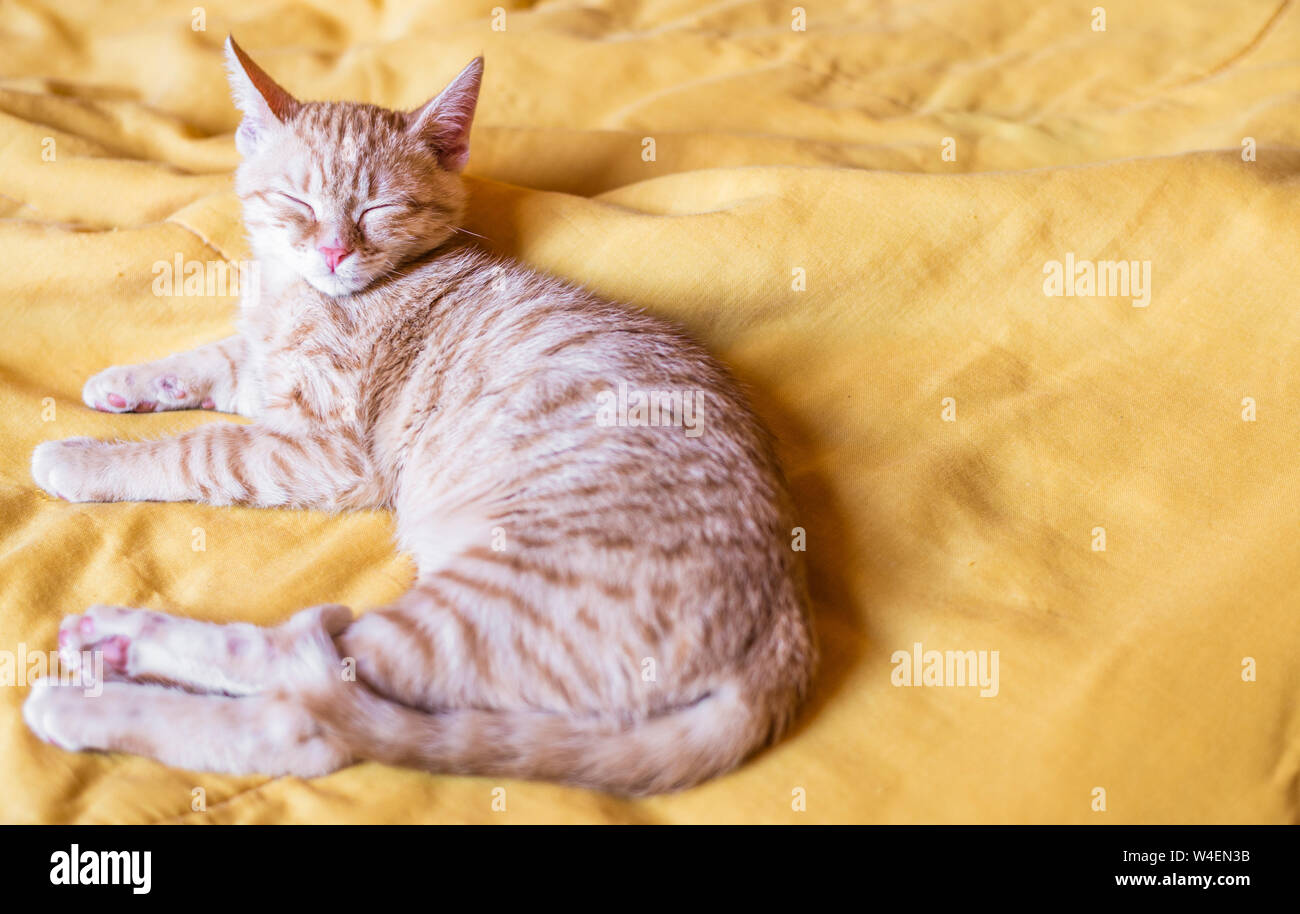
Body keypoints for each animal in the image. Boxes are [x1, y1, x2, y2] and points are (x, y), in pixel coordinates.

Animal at [17, 37, 811, 795]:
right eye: (297, 202)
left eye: (379, 209)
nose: (334, 252)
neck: (296, 294)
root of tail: (786, 633)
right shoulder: (263, 371)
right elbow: (218, 357)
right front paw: (125, 383)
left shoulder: (327, 452)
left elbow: (197, 449)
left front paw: (87, 456)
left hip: (477, 608)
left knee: (299, 697)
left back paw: (102, 676)